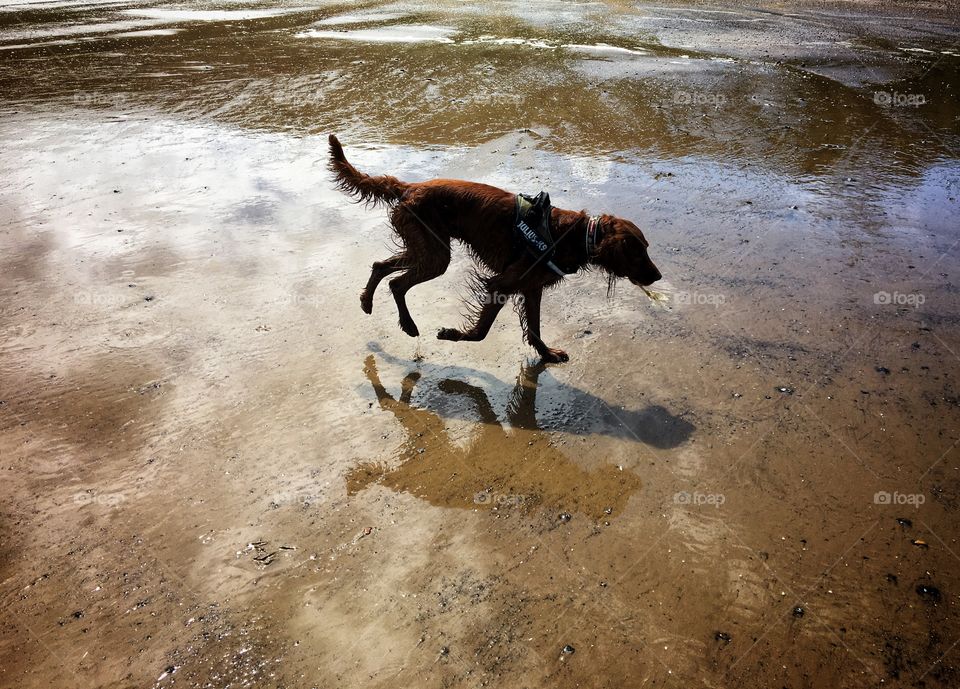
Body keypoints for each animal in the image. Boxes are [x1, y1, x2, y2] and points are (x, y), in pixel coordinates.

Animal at [330, 132, 660, 362]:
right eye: (638, 251)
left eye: (646, 248)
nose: (657, 276)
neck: (572, 234)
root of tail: (410, 187)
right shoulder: (502, 283)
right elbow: (481, 332)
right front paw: (453, 334)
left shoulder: (531, 288)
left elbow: (535, 328)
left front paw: (547, 354)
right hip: (435, 255)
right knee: (397, 283)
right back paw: (408, 325)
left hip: (427, 250)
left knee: (381, 267)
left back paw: (367, 302)